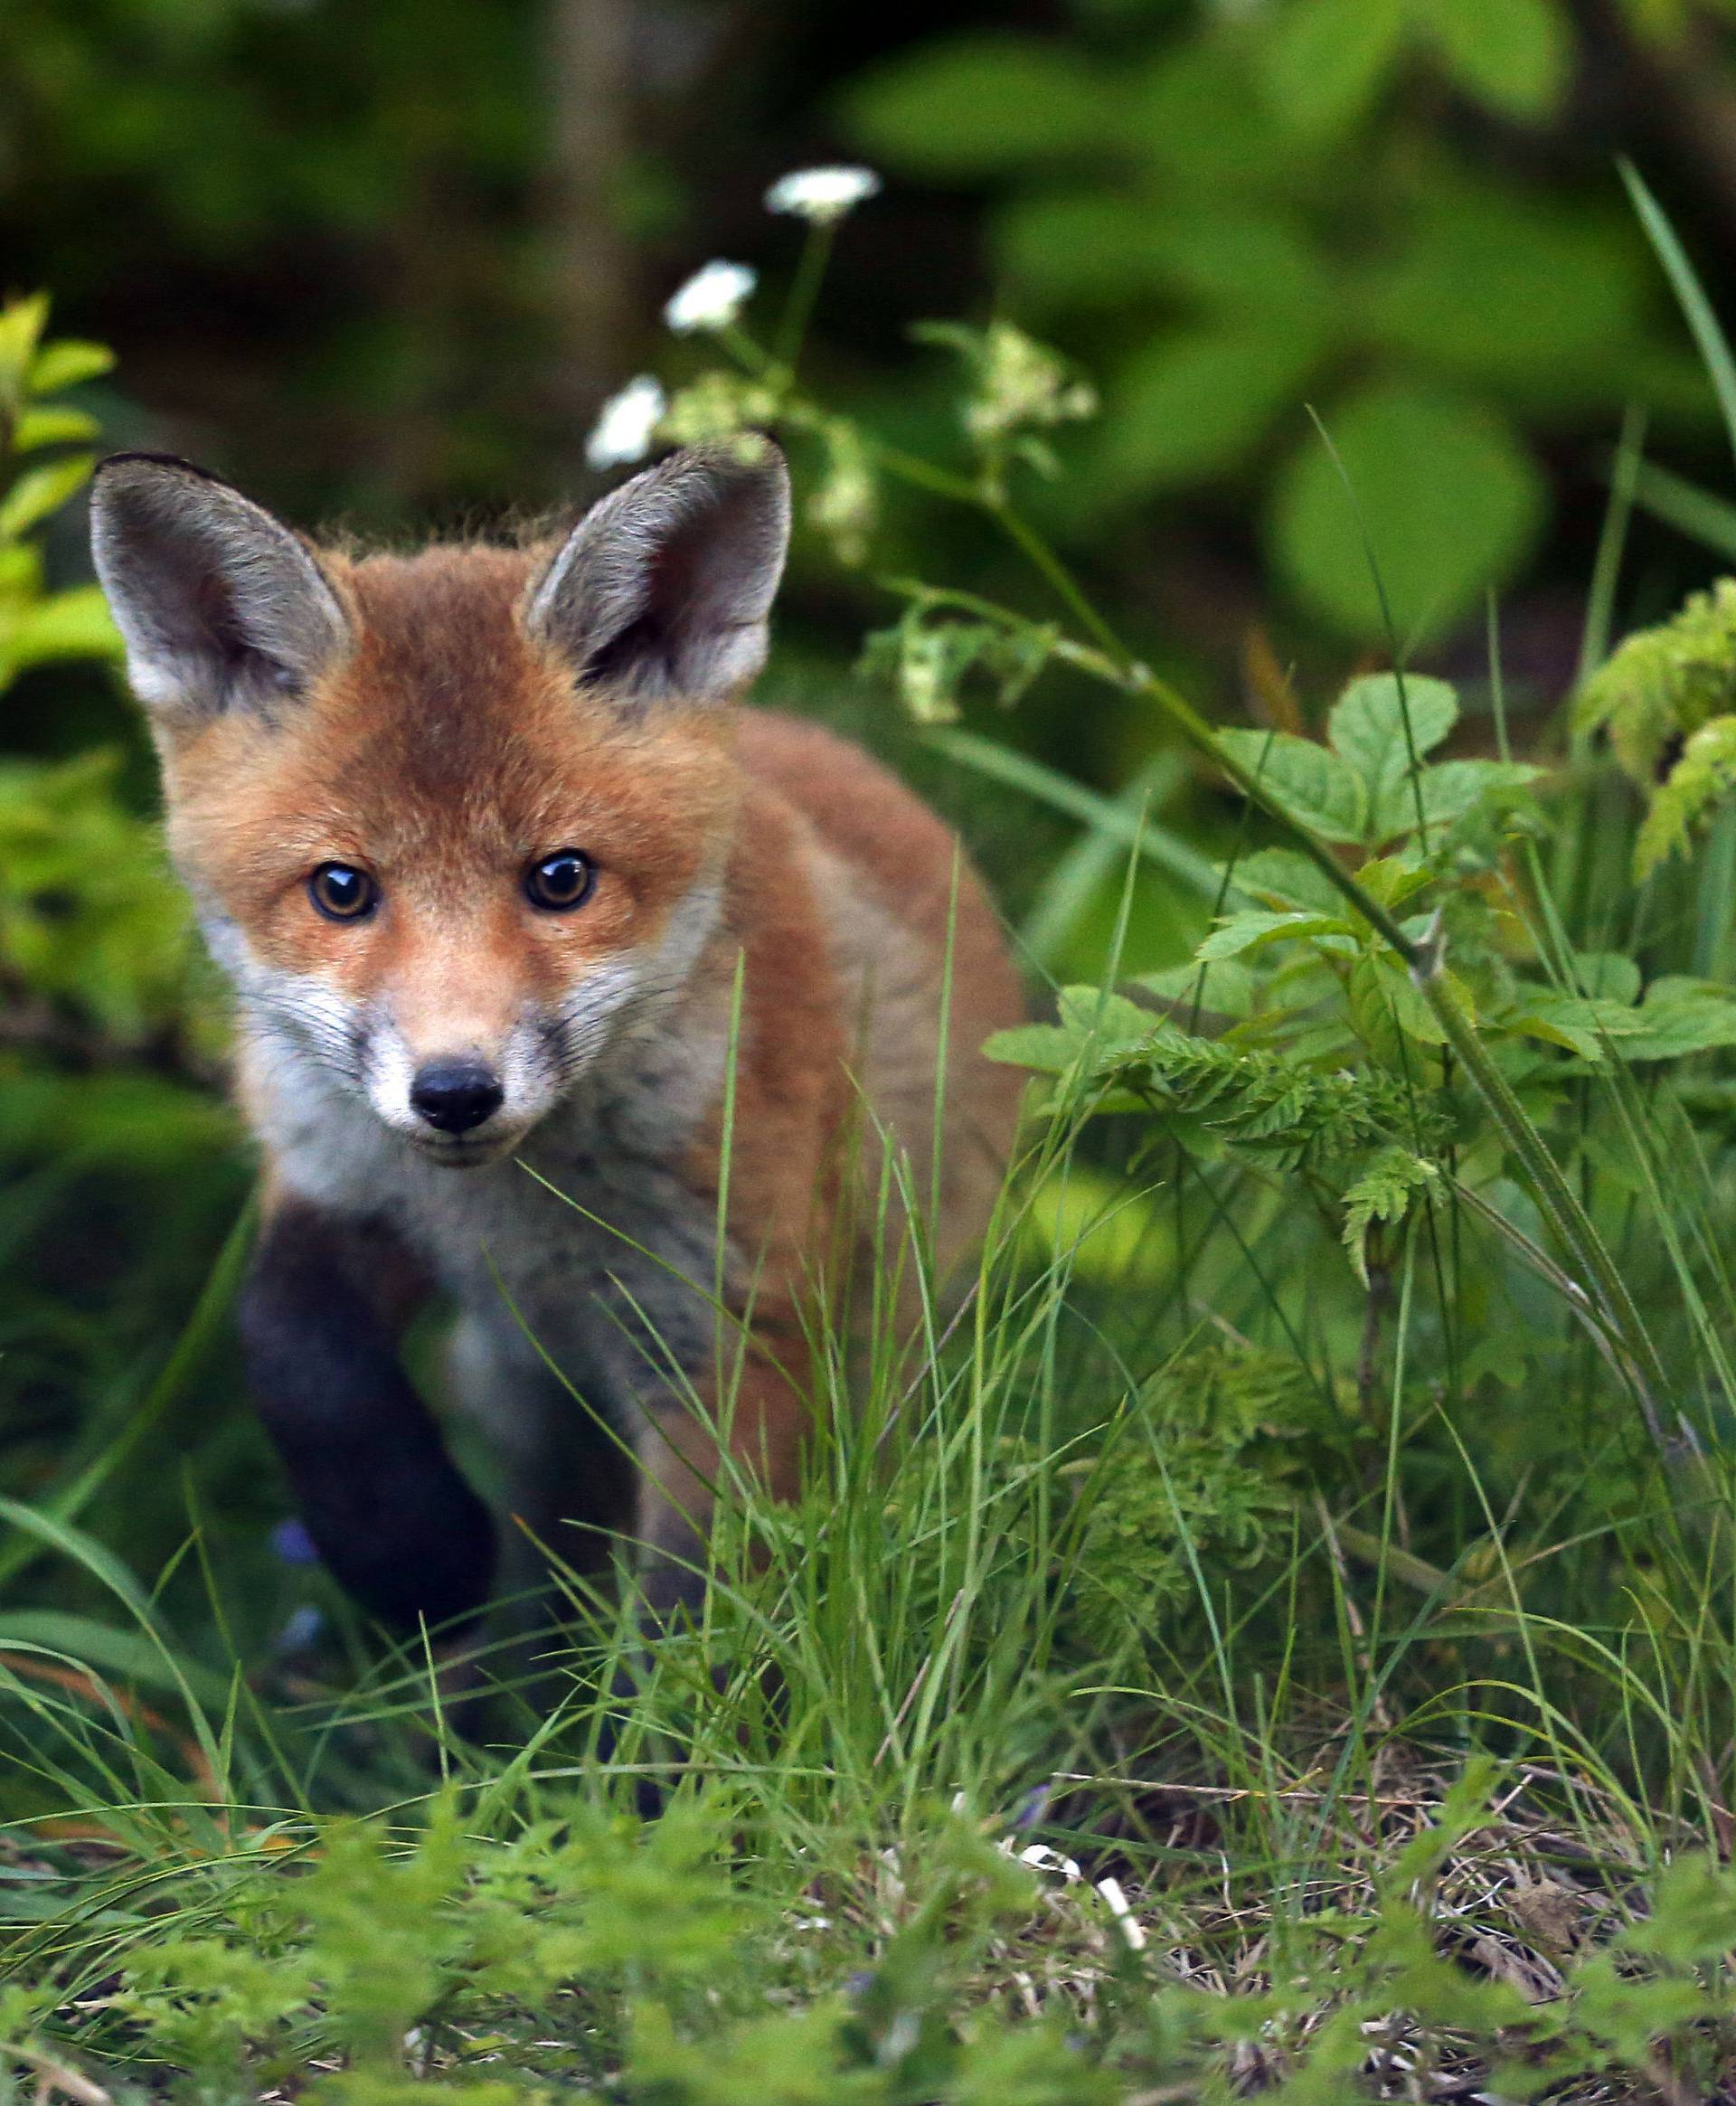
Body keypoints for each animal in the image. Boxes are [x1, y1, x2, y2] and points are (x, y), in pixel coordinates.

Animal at [88, 439, 1024, 1659]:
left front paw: (663, 1723)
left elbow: (692, 1617)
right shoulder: (334, 1175)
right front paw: (411, 1551)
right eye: (341, 889)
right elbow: (292, 1350)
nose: (454, 1092)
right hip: (518, 1392)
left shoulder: (735, 1316)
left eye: (561, 878)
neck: (513, 1218)